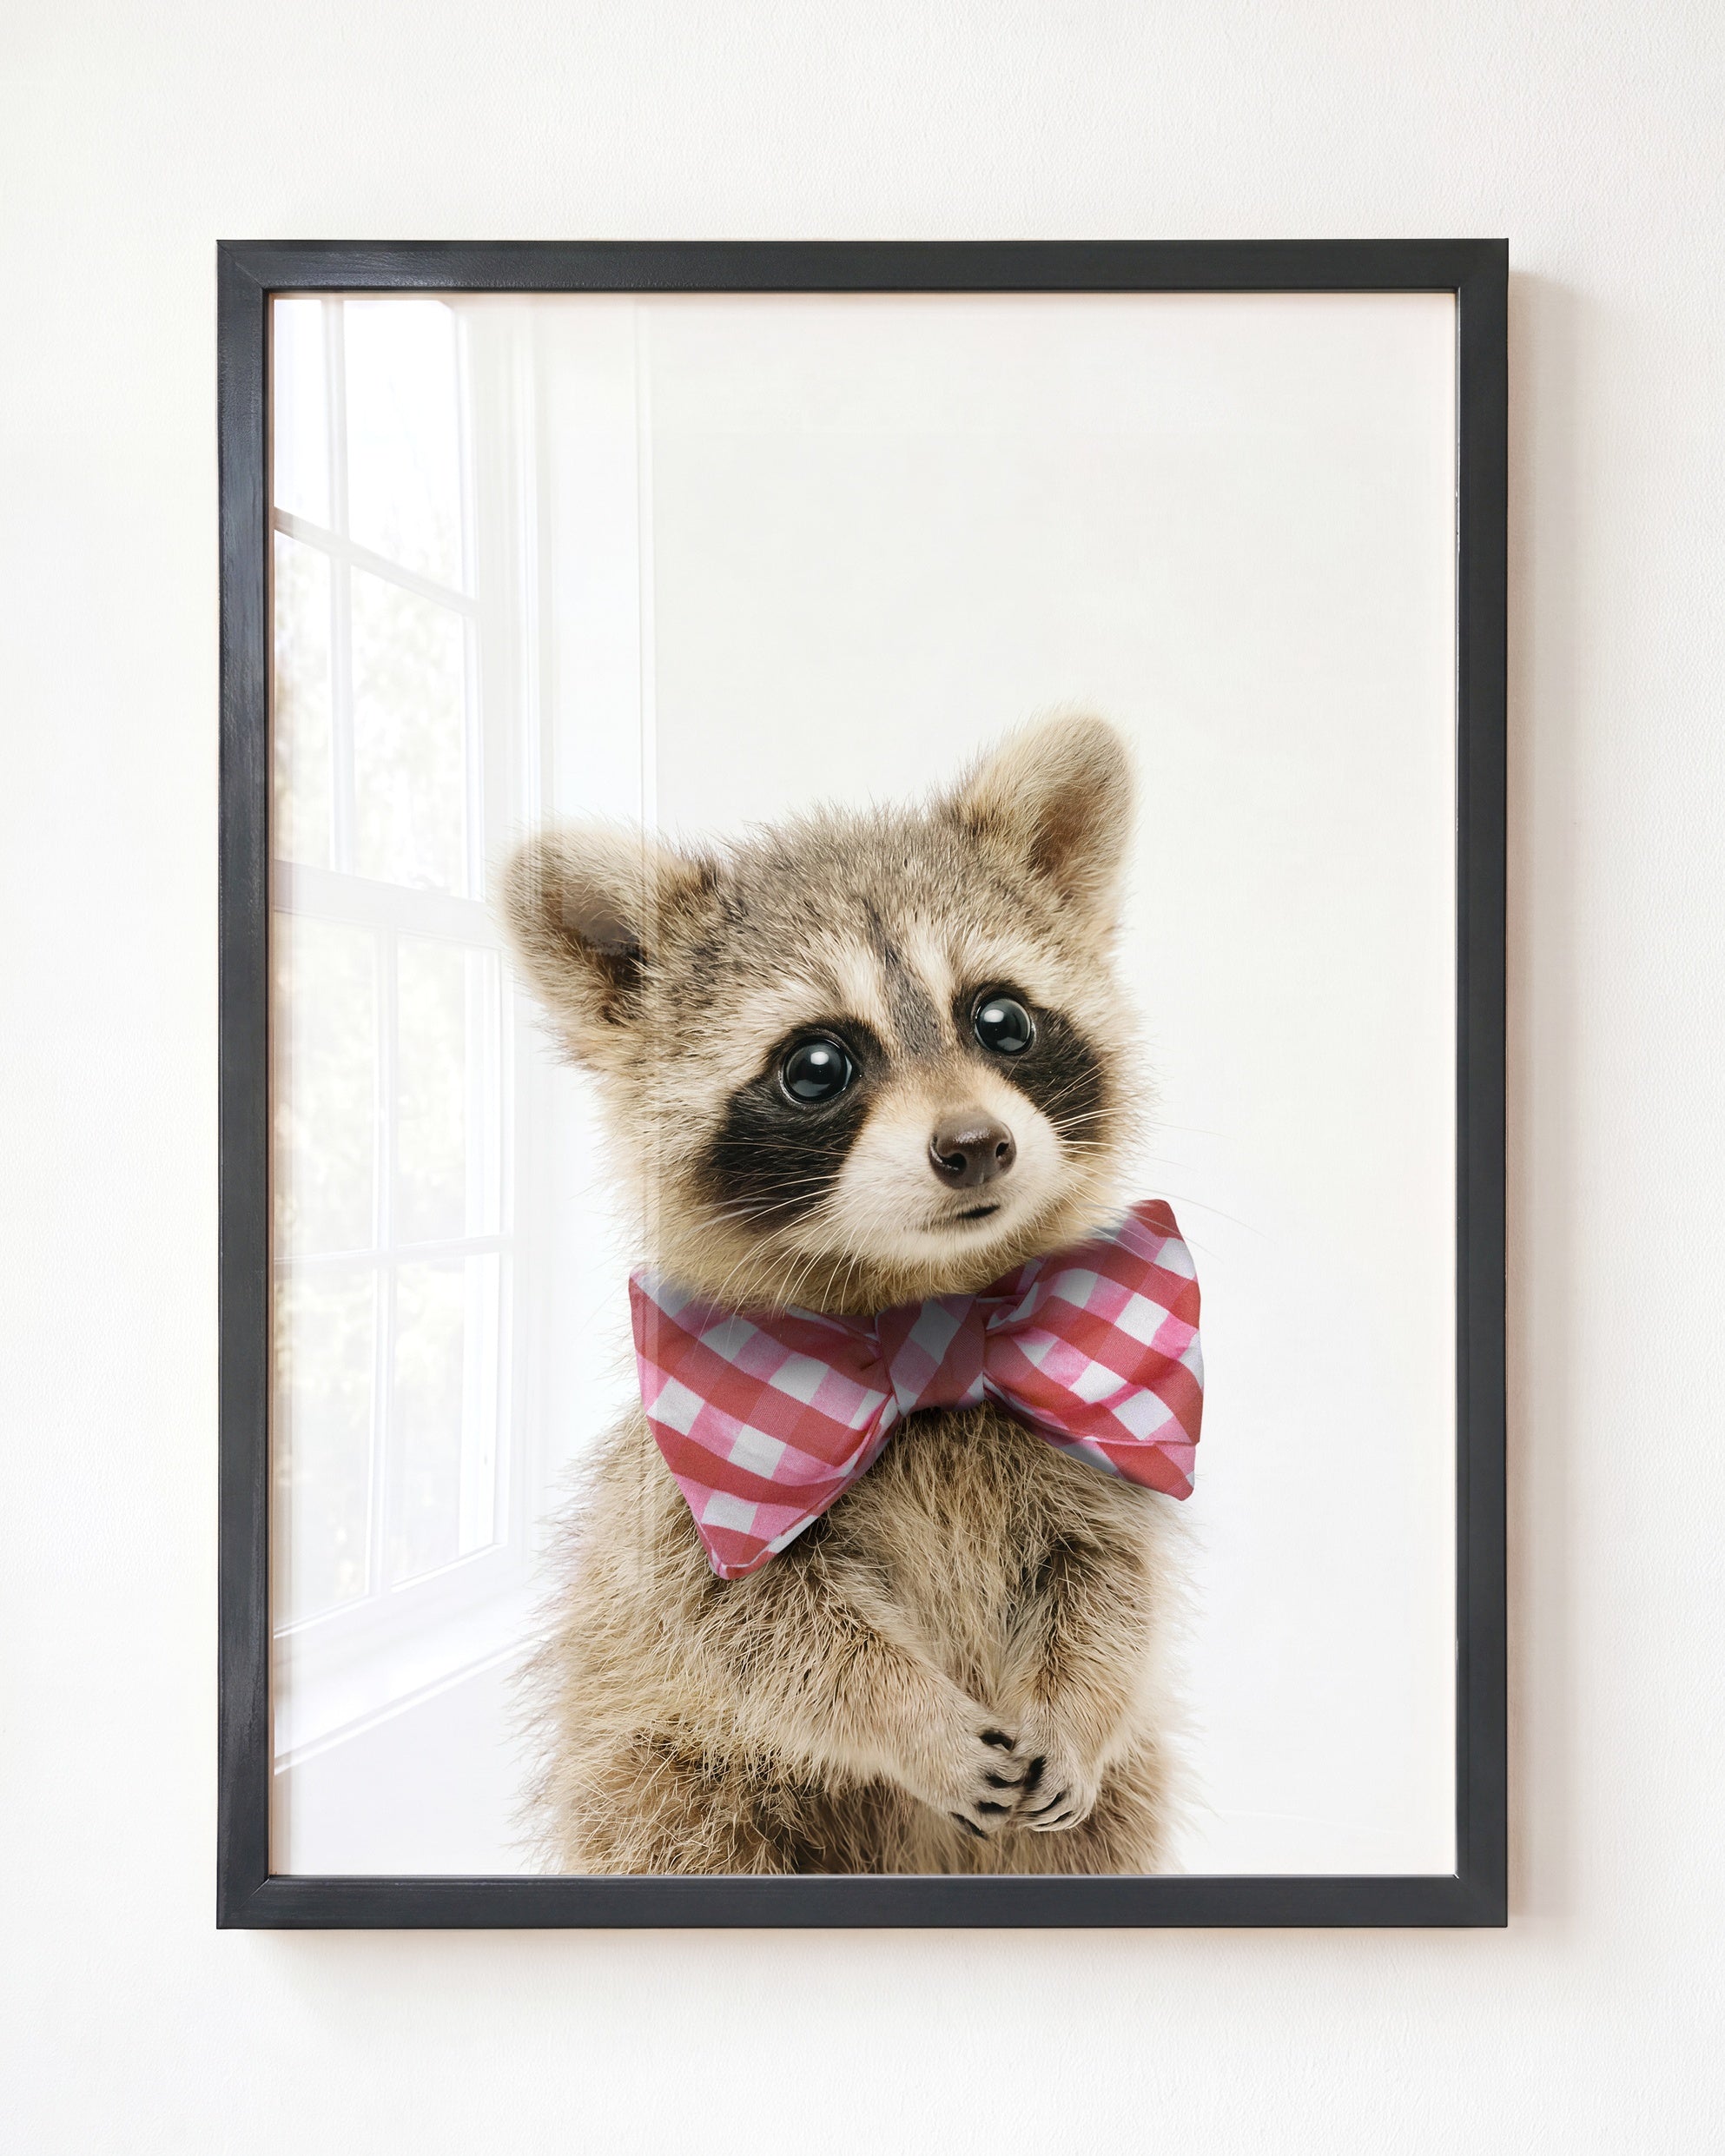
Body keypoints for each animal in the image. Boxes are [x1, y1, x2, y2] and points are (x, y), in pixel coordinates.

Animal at [501, 714, 1187, 1874]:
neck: (929, 1311)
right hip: (663, 1780)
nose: (976, 1145)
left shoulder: (1089, 1445)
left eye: (1002, 1019)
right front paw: (911, 1716)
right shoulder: (688, 1499)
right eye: (817, 1064)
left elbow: (1111, 1582)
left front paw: (1079, 1704)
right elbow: (759, 1634)